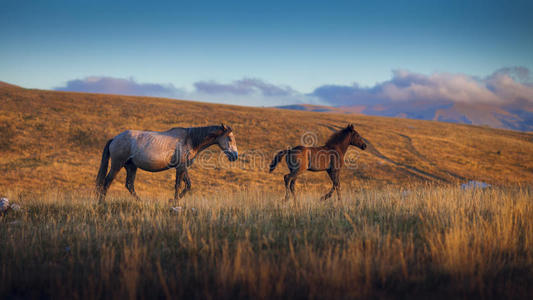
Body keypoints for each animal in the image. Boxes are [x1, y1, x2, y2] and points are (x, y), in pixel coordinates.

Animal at [95, 123, 237, 203]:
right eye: (229, 138)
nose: (235, 155)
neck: (190, 139)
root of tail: (114, 138)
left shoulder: (183, 168)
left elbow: (188, 185)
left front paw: (173, 200)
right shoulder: (180, 167)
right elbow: (178, 185)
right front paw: (174, 202)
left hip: (131, 167)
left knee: (129, 185)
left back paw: (140, 202)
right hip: (117, 165)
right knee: (107, 182)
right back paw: (102, 203)